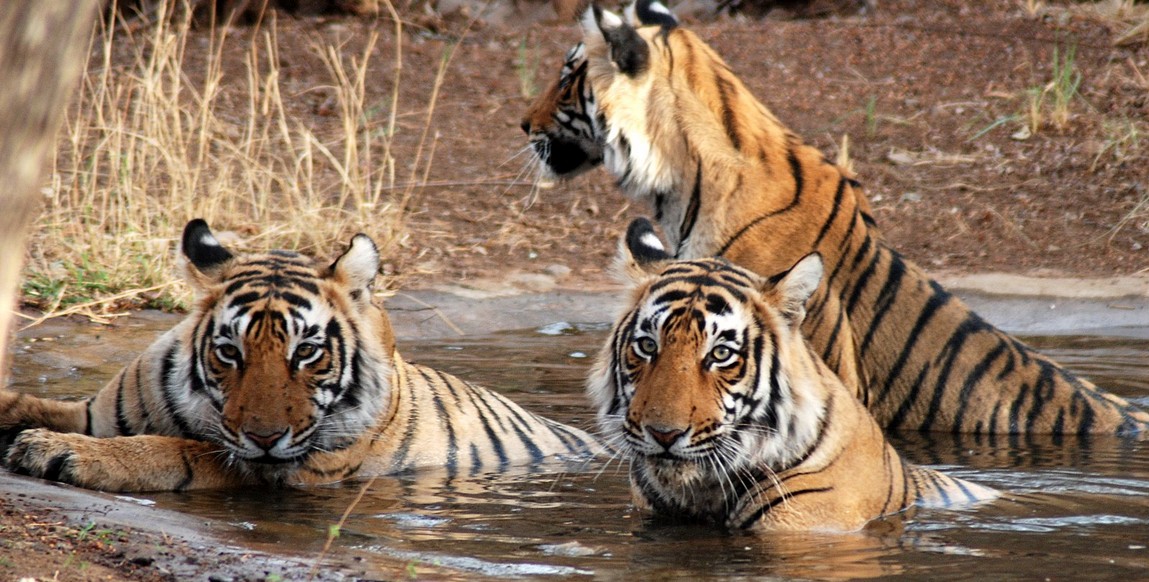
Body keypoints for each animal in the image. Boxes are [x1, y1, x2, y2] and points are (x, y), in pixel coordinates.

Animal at [2, 220, 602, 493]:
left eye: (307, 352)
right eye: (229, 352)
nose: (265, 437)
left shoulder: (278, 468)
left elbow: (173, 449)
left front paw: (56, 452)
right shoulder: (94, 412)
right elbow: (31, 404)